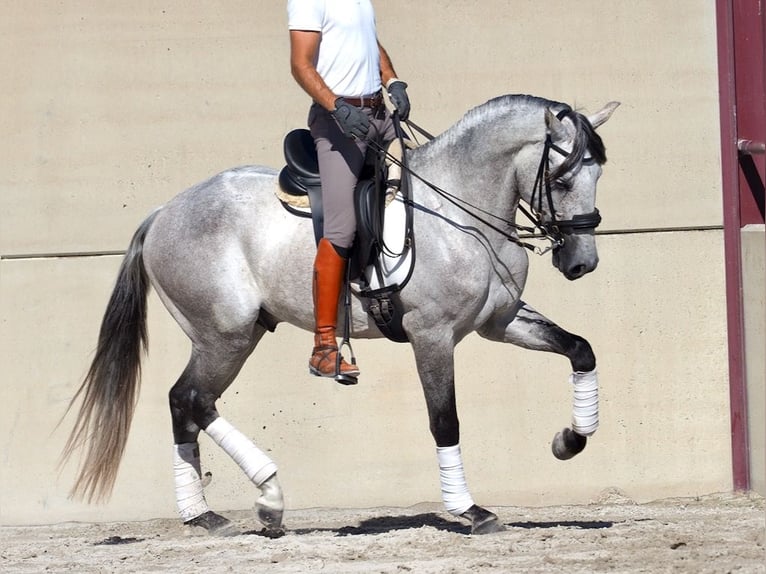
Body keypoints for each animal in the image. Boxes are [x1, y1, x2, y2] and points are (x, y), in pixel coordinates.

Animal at [63, 94, 620, 540]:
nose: (582, 263)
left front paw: (570, 440)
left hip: (232, 336)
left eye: (599, 173)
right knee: (193, 400)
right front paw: (471, 510)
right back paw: (268, 497)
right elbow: (445, 420)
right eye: (562, 178)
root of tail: (163, 212)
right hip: (225, 335)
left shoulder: (500, 322)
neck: (459, 214)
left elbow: (581, 349)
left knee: (185, 405)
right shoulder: (432, 335)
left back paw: (204, 516)